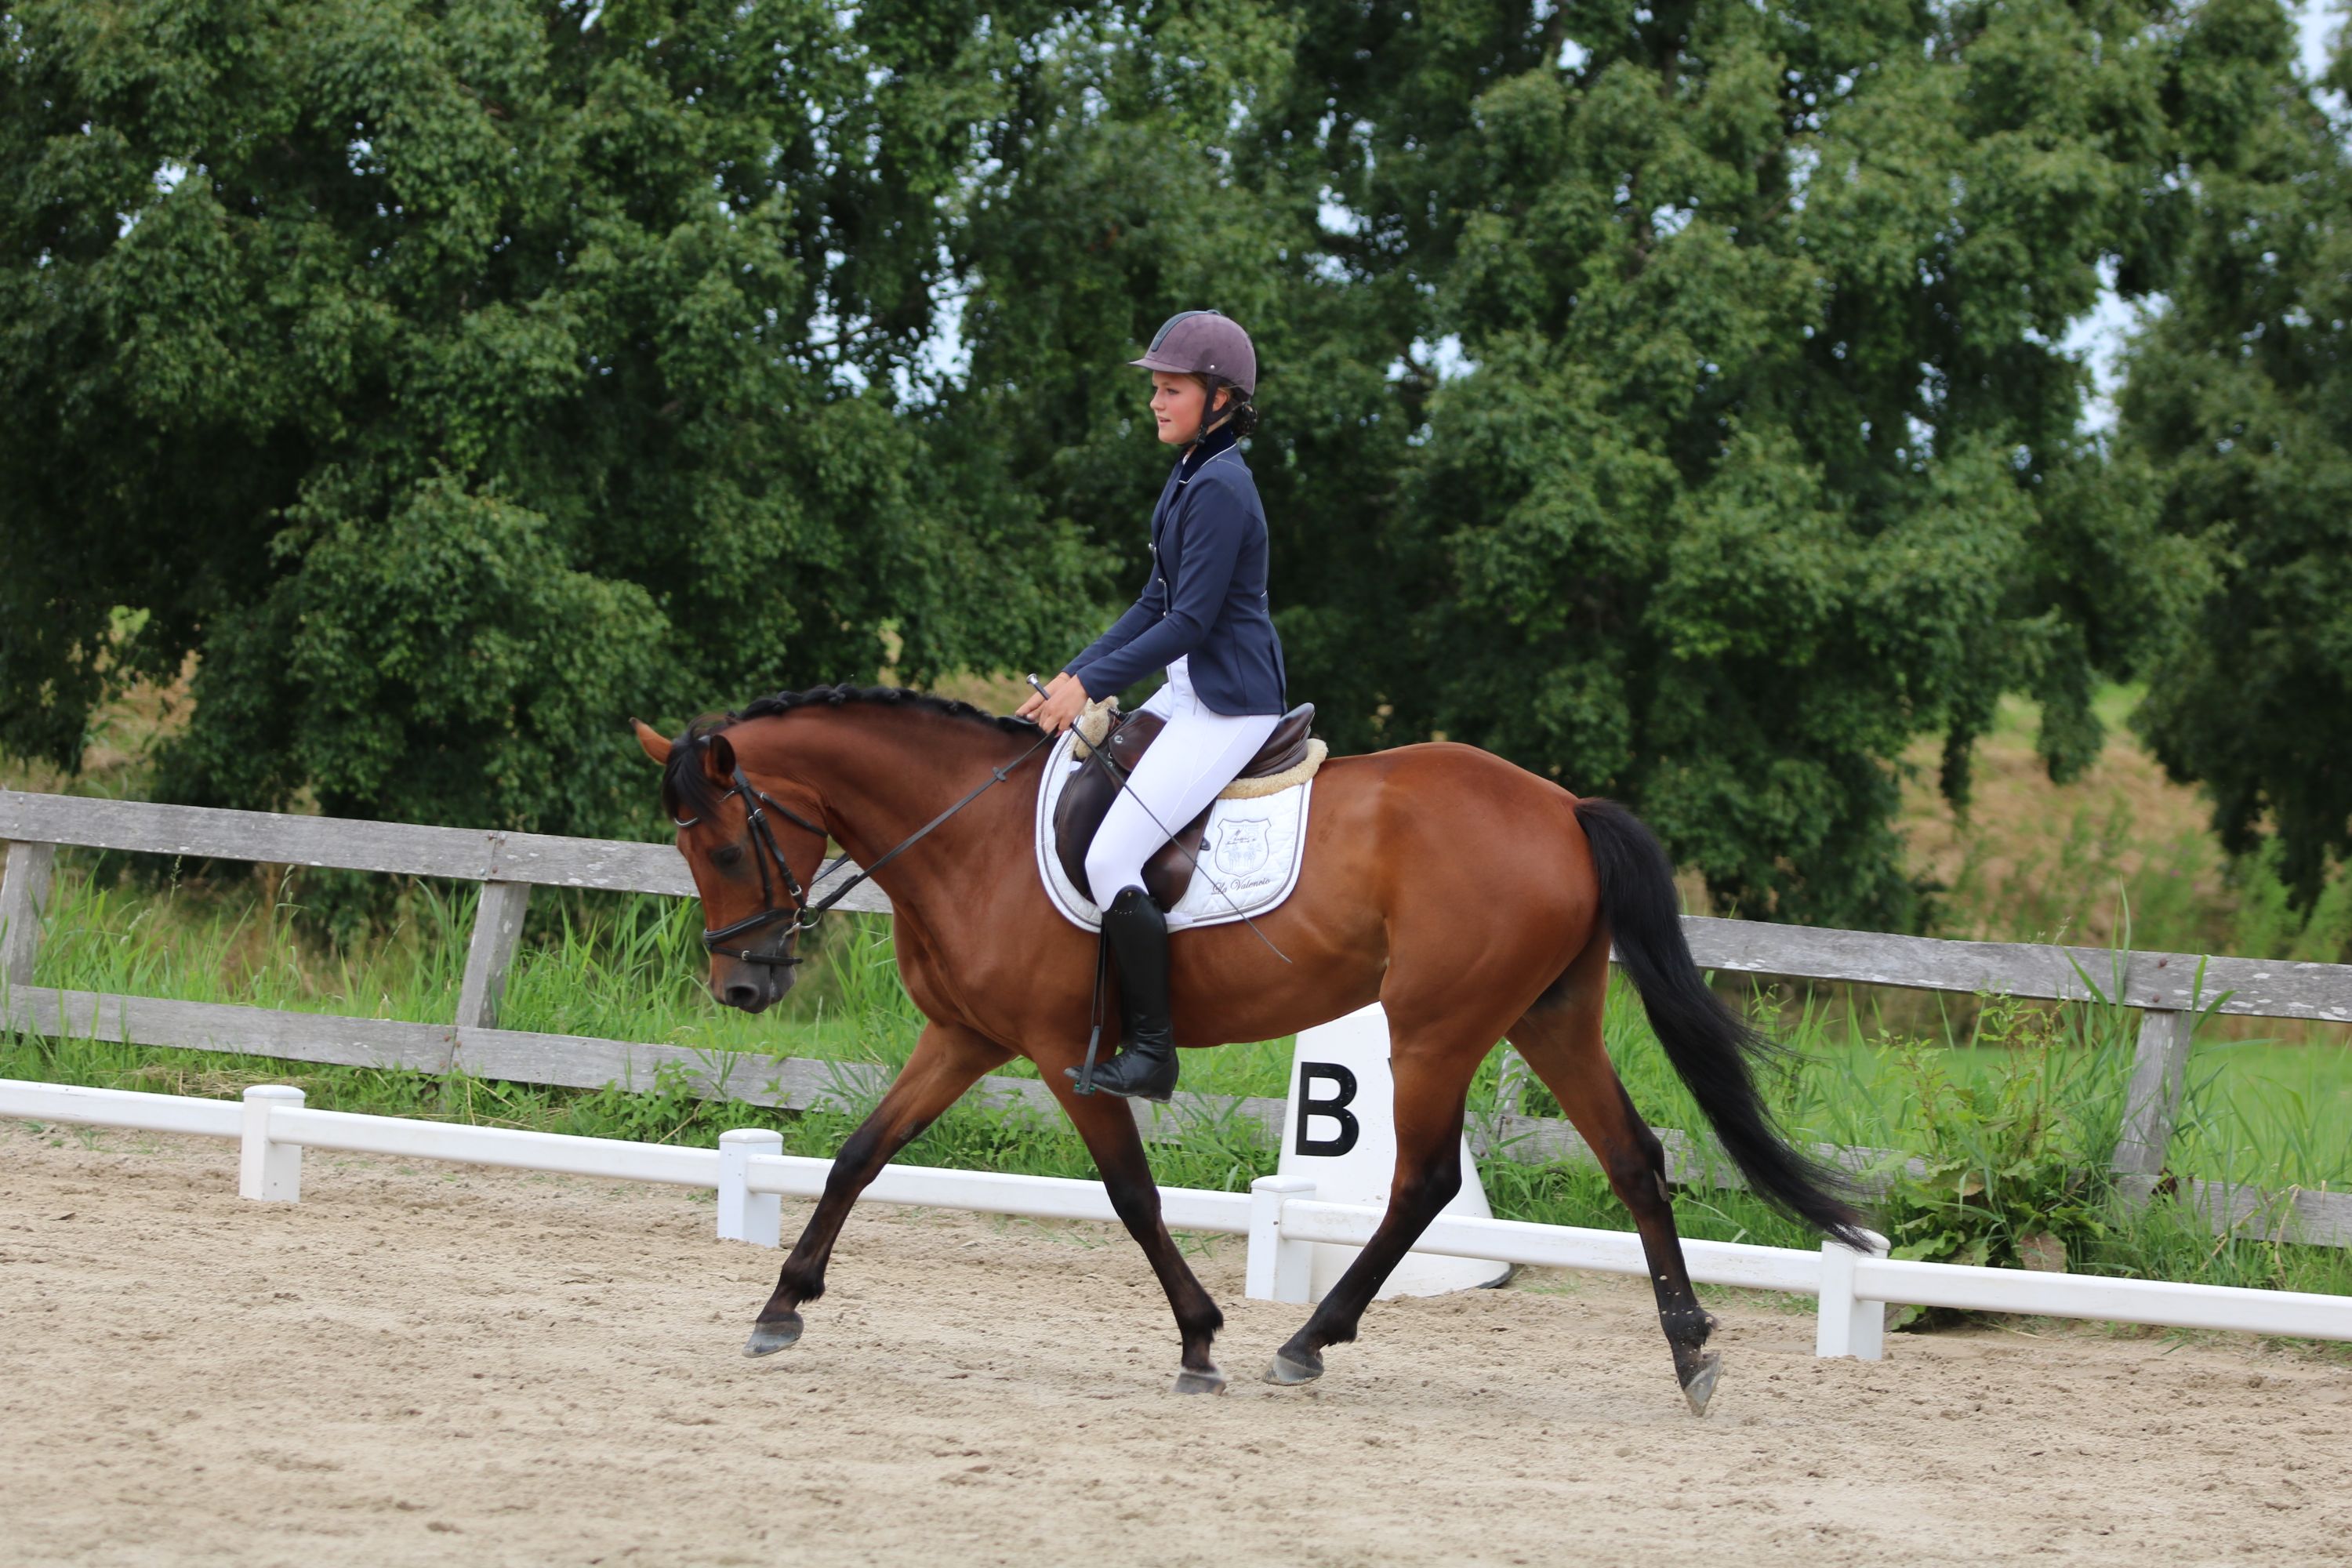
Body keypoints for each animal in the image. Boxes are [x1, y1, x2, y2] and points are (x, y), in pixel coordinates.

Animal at [632, 686, 1865, 1414]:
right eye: (689, 847)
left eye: (724, 843)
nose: (741, 984)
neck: (967, 836)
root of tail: (1564, 807)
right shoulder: (965, 1037)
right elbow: (857, 1155)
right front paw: (781, 1305)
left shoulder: (1057, 1050)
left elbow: (1132, 1194)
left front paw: (1199, 1339)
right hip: (1545, 1016)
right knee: (1634, 1161)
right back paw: (1691, 1352)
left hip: (1433, 1029)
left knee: (1423, 1181)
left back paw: (1312, 1338)